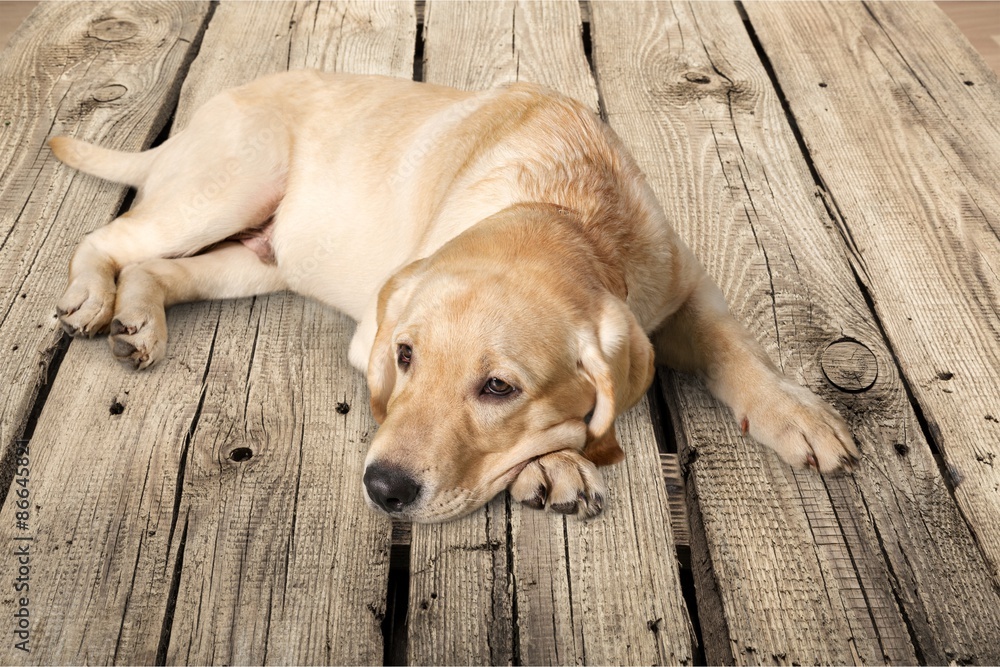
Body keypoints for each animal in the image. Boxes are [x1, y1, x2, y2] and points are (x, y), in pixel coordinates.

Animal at [50, 70, 856, 524]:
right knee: (109, 237)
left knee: (157, 268)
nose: (382, 488)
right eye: (404, 357)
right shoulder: (373, 330)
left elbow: (735, 347)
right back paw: (91, 298)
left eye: (499, 387)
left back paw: (139, 319)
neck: (562, 203)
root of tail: (188, 126)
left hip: (263, 258)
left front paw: (799, 413)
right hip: (233, 181)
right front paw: (555, 463)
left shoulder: (687, 282)